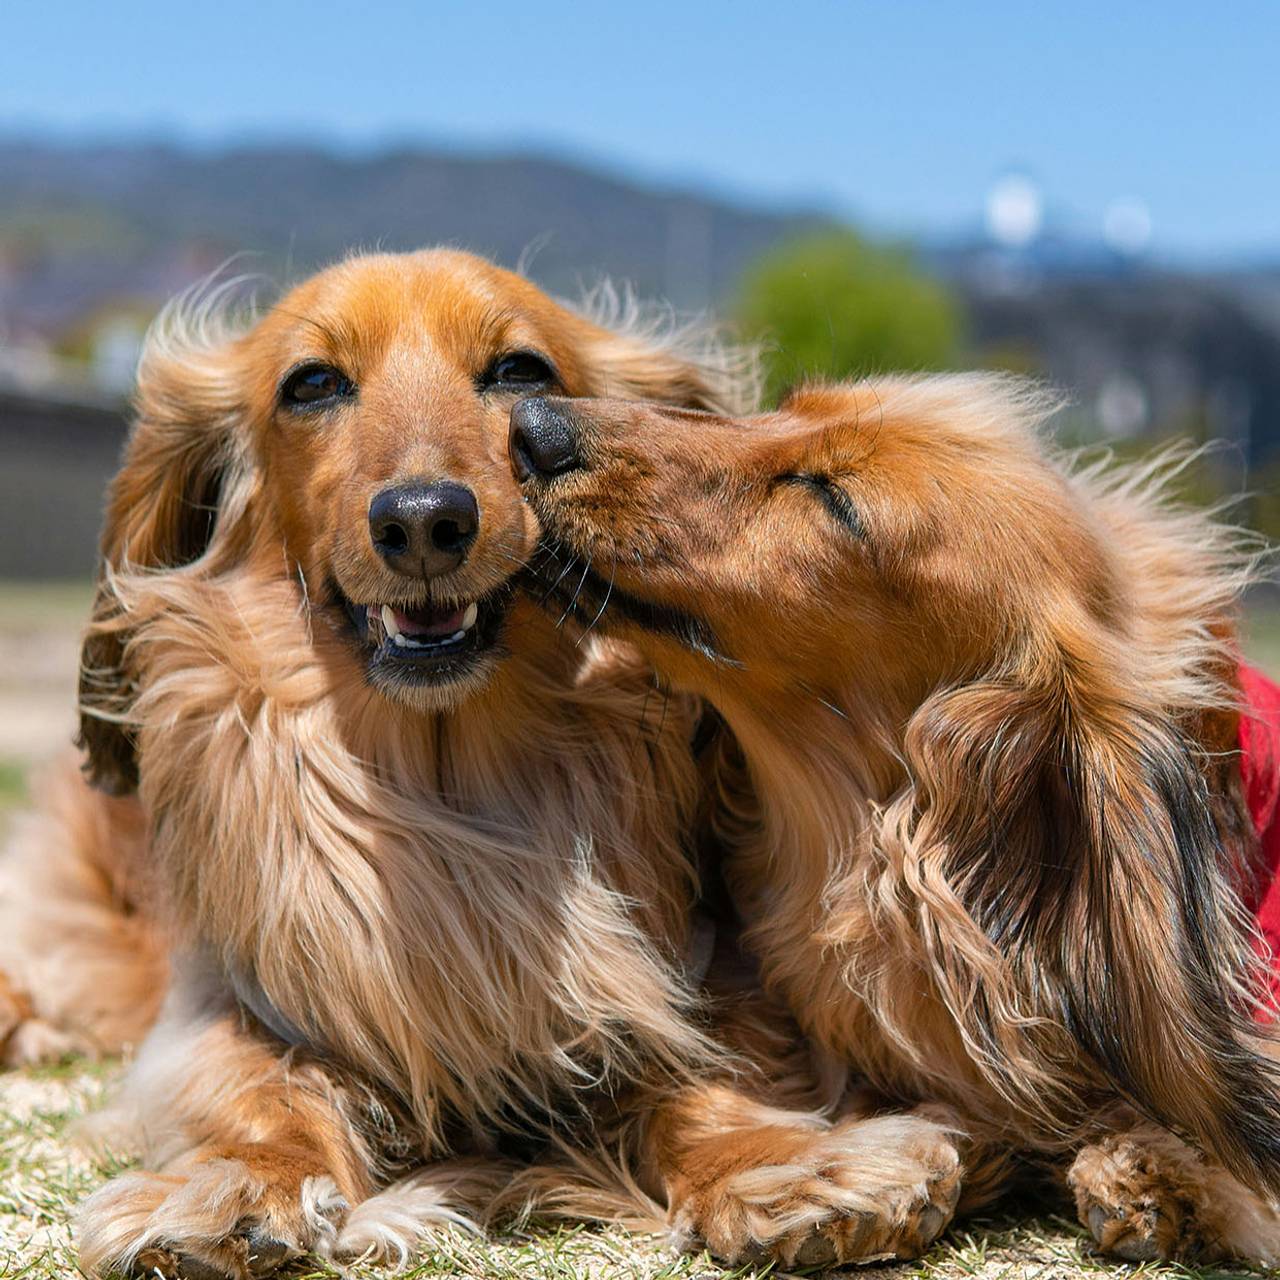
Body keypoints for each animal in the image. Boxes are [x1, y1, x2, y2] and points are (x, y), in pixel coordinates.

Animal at [512, 378, 1280, 1269]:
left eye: (835, 499)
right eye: (784, 406)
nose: (530, 421)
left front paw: (1172, 1169)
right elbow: (680, 1091)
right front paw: (786, 1173)